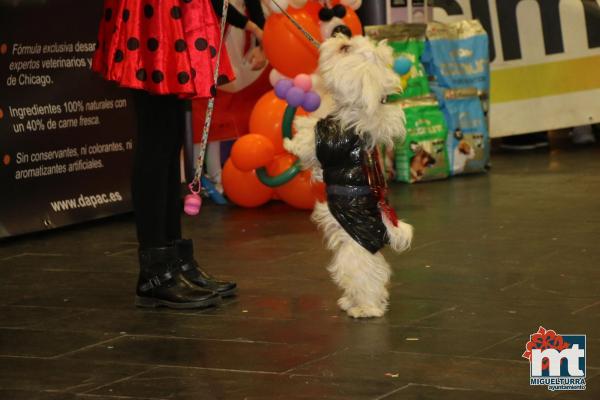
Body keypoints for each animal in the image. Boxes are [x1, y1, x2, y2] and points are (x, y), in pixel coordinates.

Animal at [284, 34, 412, 318]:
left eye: (345, 49)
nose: (338, 34)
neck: (357, 107)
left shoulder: (324, 142)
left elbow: (306, 142)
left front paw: (290, 140)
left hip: (351, 255)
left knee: (365, 281)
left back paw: (365, 308)